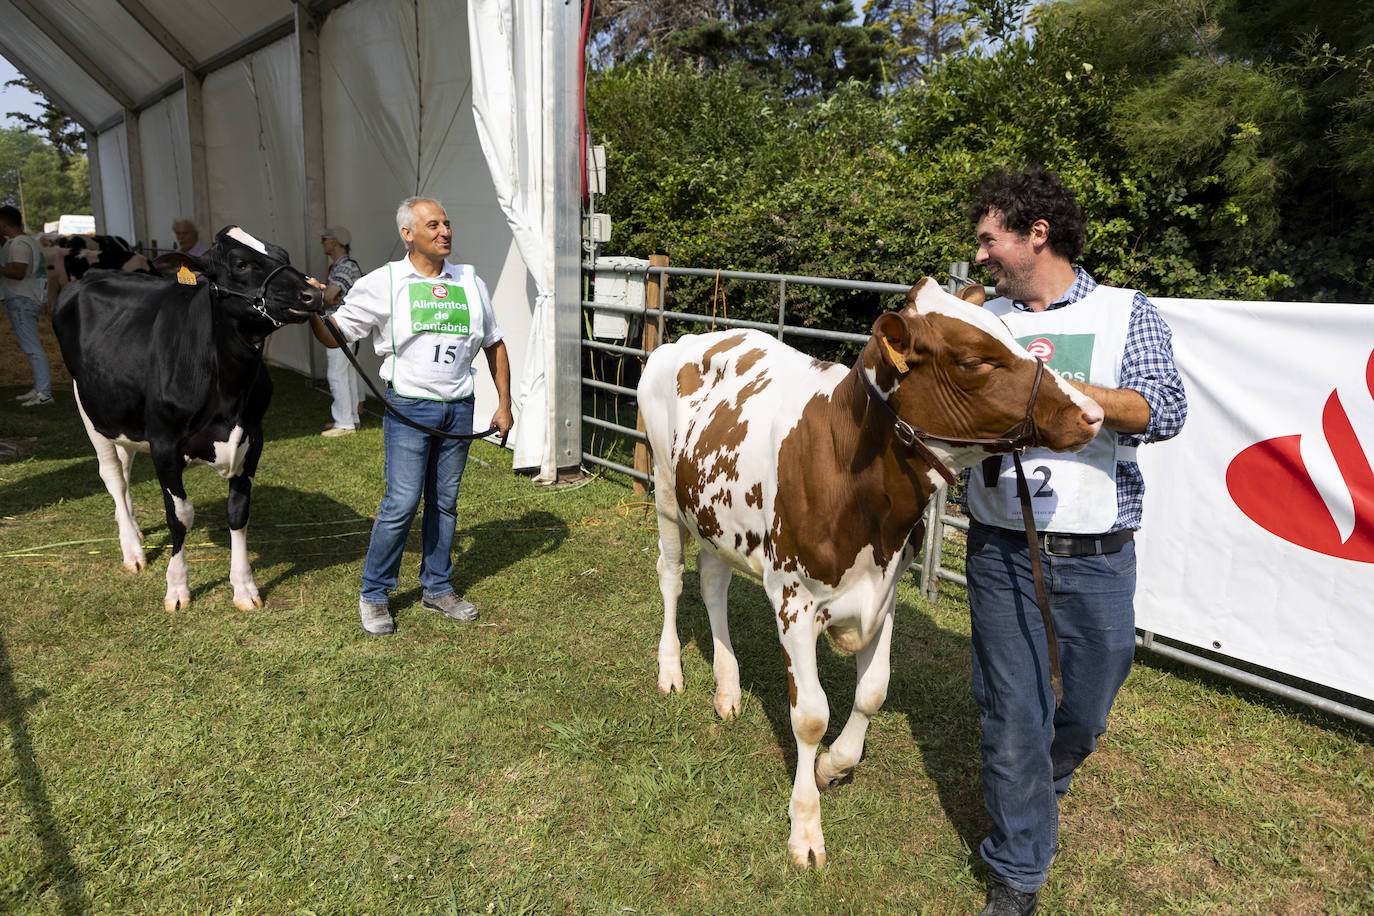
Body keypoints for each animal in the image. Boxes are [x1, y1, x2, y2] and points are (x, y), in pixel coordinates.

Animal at [53, 223, 324, 609]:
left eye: (282, 254)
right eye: (240, 263)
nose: (312, 294)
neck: (228, 393)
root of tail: (93, 275)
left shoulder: (253, 436)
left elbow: (238, 511)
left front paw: (245, 588)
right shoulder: (164, 442)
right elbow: (180, 515)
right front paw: (177, 588)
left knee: (125, 466)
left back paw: (132, 526)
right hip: (89, 408)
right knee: (113, 476)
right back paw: (132, 549)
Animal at [640, 276, 1104, 873]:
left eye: (1009, 333)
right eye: (974, 360)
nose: (1091, 412)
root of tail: (691, 338)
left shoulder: (883, 594)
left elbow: (873, 693)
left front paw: (833, 765)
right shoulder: (793, 600)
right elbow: (810, 716)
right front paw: (805, 830)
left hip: (716, 516)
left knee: (713, 584)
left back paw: (727, 689)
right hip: (664, 488)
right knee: (672, 577)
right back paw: (671, 670)